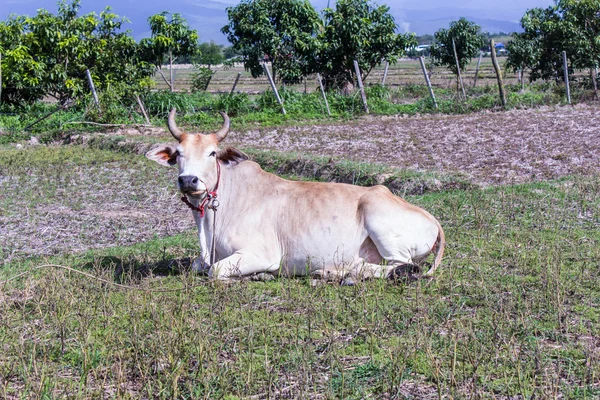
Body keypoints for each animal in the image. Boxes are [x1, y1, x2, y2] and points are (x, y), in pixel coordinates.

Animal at [147, 108, 442, 282]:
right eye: (179, 153)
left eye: (212, 153)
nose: (188, 180)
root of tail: (431, 218)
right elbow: (198, 265)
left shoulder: (262, 254)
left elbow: (214, 270)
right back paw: (329, 271)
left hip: (381, 225)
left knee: (401, 265)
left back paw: (348, 271)